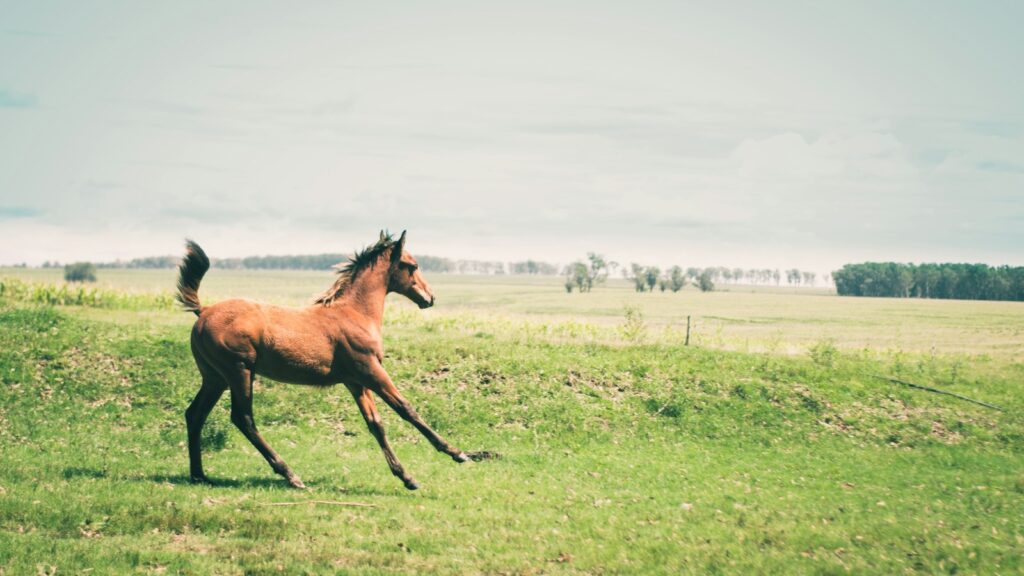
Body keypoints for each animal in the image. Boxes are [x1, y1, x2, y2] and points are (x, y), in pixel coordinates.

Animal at [178, 230, 479, 490]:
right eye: (413, 266)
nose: (430, 298)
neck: (354, 314)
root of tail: (203, 310)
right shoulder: (371, 371)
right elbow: (406, 409)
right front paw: (458, 453)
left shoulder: (356, 382)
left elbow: (376, 424)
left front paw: (406, 477)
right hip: (239, 372)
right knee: (243, 418)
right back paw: (291, 475)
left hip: (215, 378)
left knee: (195, 414)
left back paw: (199, 475)